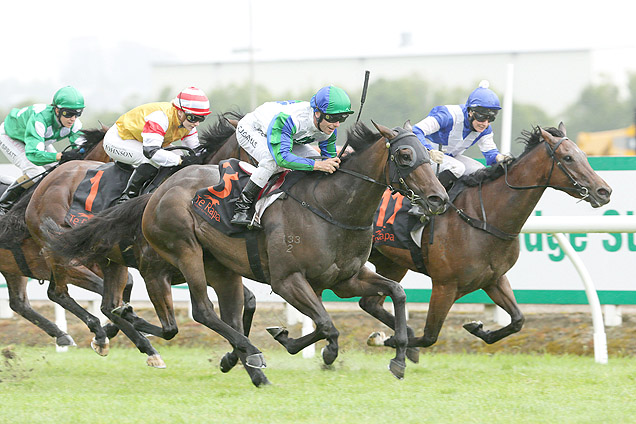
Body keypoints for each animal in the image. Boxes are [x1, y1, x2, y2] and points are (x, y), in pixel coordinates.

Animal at [362, 122, 612, 358]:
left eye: (584, 155)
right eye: (568, 158)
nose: (604, 191)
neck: (483, 218)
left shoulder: (494, 278)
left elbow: (518, 320)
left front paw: (477, 327)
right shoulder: (445, 285)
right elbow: (429, 336)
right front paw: (388, 340)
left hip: (392, 263)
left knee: (369, 303)